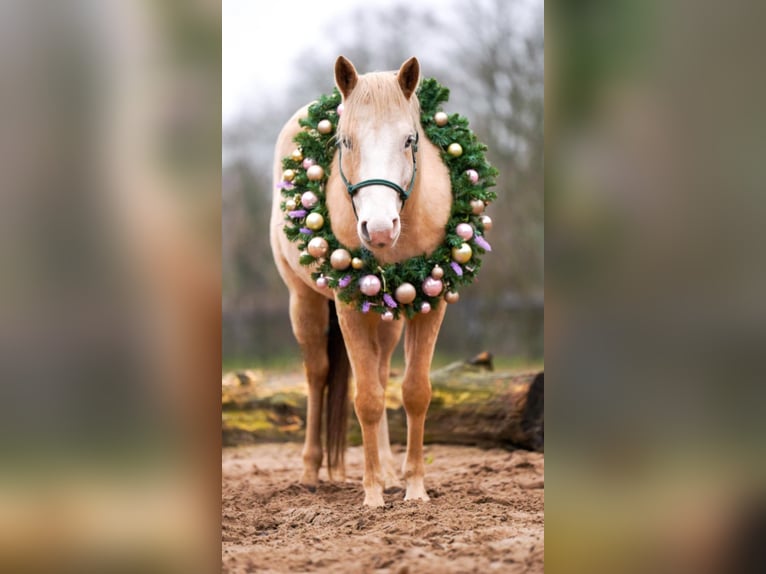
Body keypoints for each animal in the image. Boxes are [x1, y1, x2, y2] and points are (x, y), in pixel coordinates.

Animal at [270, 56, 453, 507]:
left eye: (409, 140)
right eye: (345, 142)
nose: (380, 228)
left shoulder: (433, 303)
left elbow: (414, 392)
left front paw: (414, 488)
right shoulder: (348, 305)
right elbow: (366, 398)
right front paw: (372, 496)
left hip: (388, 319)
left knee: (383, 371)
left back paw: (388, 468)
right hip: (304, 303)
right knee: (317, 375)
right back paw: (311, 472)